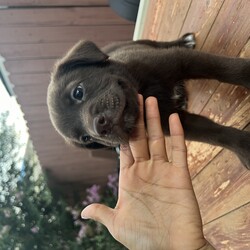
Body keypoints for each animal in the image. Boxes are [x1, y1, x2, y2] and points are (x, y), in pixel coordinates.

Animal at [47, 33, 250, 169]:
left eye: (78, 92)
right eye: (86, 138)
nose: (99, 128)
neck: (144, 92)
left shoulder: (179, 60)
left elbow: (224, 69)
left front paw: (247, 72)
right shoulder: (174, 121)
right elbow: (213, 133)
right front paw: (244, 147)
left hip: (141, 43)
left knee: (158, 43)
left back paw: (184, 41)